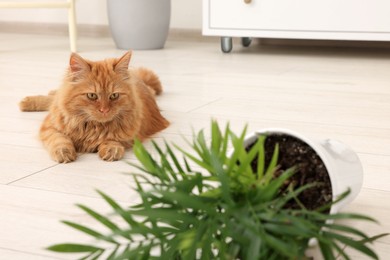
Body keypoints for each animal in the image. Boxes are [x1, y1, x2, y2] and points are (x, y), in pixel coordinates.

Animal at [19, 51, 169, 162]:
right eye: (92, 96)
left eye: (114, 96)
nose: (104, 110)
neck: (92, 126)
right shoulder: (50, 126)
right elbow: (60, 139)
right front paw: (64, 152)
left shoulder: (131, 133)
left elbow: (113, 139)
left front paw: (111, 149)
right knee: (52, 97)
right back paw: (26, 102)